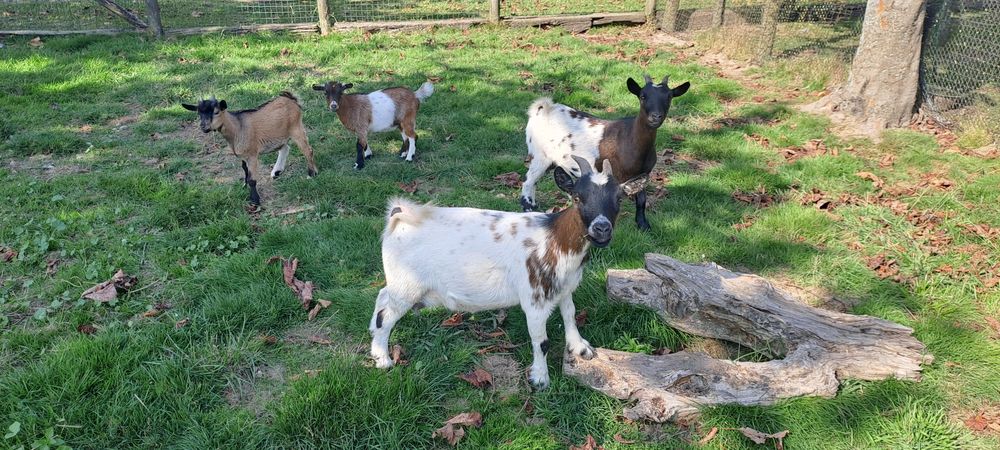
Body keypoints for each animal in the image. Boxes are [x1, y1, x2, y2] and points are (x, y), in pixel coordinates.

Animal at [182, 92, 318, 205]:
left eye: (216, 112)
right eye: (199, 113)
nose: (203, 127)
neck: (238, 128)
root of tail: (291, 99)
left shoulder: (252, 154)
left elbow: (252, 179)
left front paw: (254, 200)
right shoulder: (243, 155)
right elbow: (244, 169)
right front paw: (244, 185)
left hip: (296, 128)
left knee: (307, 150)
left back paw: (312, 174)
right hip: (278, 135)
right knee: (285, 148)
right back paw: (276, 172)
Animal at [370, 156, 641, 389]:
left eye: (619, 198)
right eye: (577, 197)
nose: (601, 228)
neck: (554, 238)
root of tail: (400, 216)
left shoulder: (565, 287)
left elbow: (570, 315)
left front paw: (580, 348)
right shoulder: (534, 299)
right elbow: (541, 341)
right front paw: (540, 379)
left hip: (401, 284)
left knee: (382, 296)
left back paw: (373, 336)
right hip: (407, 284)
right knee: (387, 315)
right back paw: (383, 359)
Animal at [519, 74, 690, 230]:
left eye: (669, 97)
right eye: (642, 96)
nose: (655, 117)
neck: (630, 138)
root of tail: (543, 109)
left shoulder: (644, 172)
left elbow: (641, 200)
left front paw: (643, 225)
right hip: (539, 155)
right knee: (528, 181)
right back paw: (528, 208)